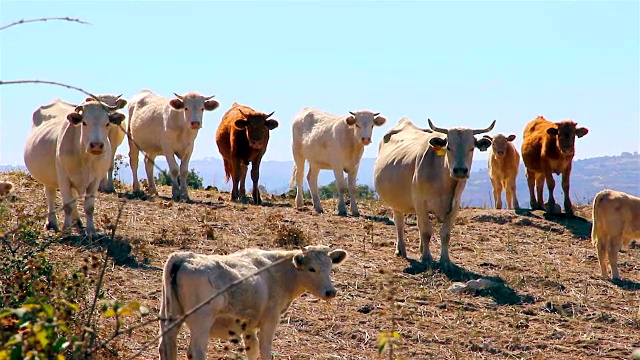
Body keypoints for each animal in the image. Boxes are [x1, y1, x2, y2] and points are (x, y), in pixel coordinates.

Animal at [23, 97, 125, 236]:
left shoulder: (95, 179)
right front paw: (66, 230)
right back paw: (52, 223)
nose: (96, 145)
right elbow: (67, 206)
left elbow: (89, 207)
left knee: (73, 197)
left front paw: (91, 230)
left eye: (107, 123)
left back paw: (77, 222)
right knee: (50, 196)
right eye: (84, 123)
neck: (84, 157)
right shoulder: (63, 178)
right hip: (47, 177)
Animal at [160, 245, 350, 360]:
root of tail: (183, 258)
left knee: (167, 347)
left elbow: (253, 349)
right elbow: (265, 349)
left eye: (330, 267)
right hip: (201, 321)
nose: (330, 292)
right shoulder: (270, 320)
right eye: (312, 269)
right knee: (196, 351)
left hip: (169, 316)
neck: (277, 271)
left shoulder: (248, 324)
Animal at [372, 116, 492, 268]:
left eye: (471, 148)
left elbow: (445, 233)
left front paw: (445, 259)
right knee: (399, 222)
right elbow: (426, 231)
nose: (460, 170)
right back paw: (401, 249)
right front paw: (427, 258)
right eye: (448, 147)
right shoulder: (420, 202)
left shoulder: (455, 205)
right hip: (396, 201)